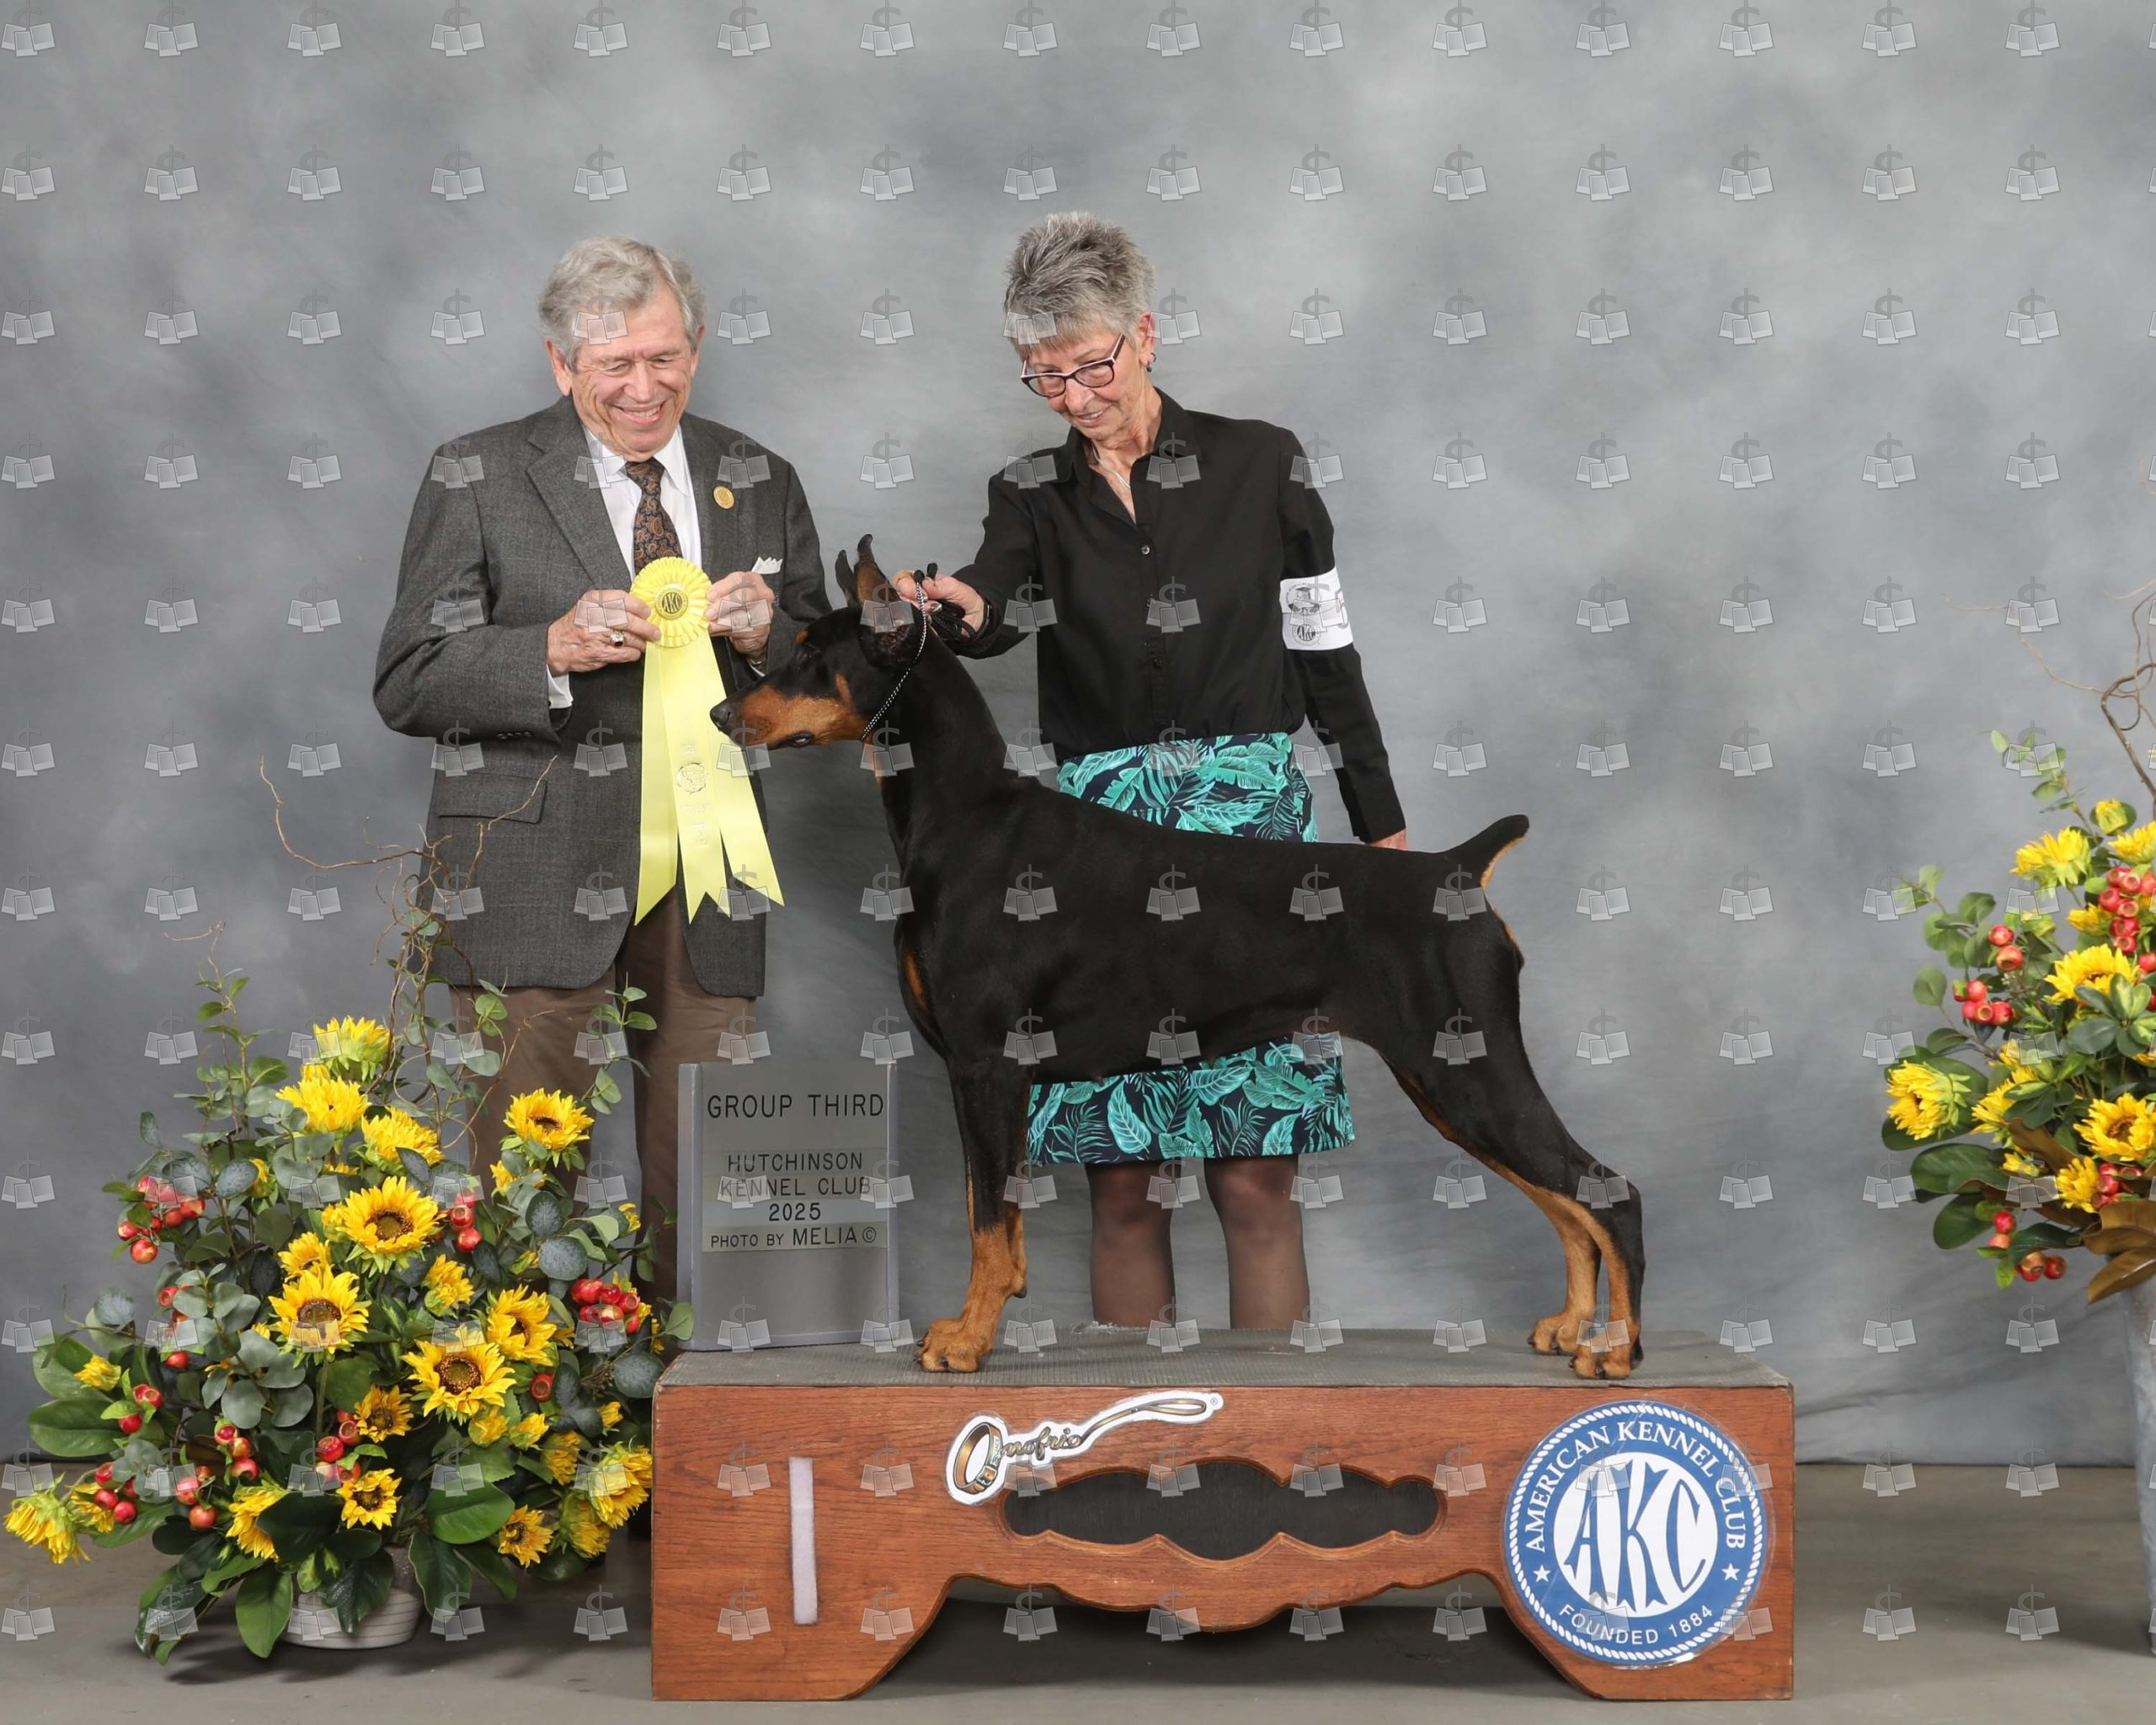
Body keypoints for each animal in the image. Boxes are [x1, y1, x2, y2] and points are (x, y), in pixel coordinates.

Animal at [712, 535, 1644, 1379]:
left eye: (809, 652)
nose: (722, 715)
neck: (964, 813)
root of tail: (1458, 867)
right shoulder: (981, 1076)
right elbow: (995, 1214)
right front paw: (974, 1322)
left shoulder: (985, 1065)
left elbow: (988, 1223)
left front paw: (967, 1340)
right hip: (1449, 1082)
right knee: (1568, 1202)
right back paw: (1569, 1325)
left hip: (1469, 1069)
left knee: (1609, 1192)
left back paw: (1616, 1348)